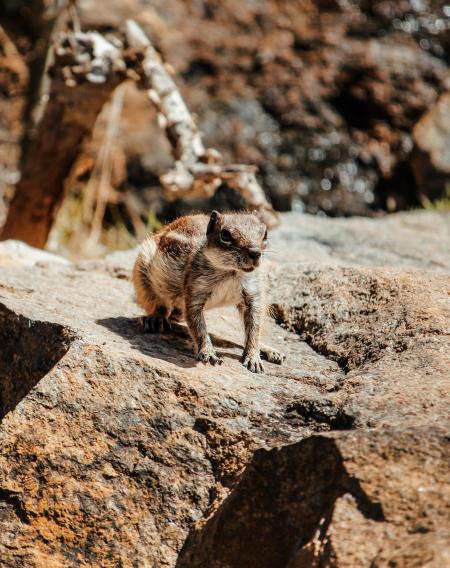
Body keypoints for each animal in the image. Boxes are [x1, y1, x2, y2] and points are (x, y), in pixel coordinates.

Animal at [132, 209, 284, 372]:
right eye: (225, 235)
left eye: (265, 233)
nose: (255, 252)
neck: (231, 272)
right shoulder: (194, 291)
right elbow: (198, 326)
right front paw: (208, 352)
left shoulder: (253, 294)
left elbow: (254, 327)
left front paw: (253, 357)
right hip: (143, 273)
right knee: (158, 304)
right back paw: (155, 319)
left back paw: (270, 350)